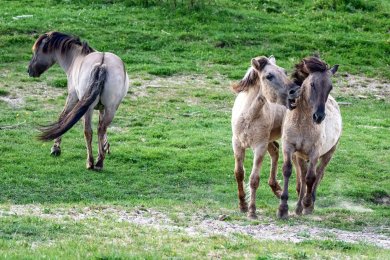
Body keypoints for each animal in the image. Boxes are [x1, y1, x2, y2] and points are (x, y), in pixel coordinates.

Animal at [29, 31, 129, 171]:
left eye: (36, 51)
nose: (29, 70)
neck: (77, 57)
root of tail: (102, 64)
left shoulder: (73, 97)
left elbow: (62, 118)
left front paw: (55, 148)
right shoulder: (102, 108)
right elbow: (101, 126)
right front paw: (105, 146)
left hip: (88, 108)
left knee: (88, 131)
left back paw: (91, 163)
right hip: (110, 109)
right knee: (101, 128)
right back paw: (99, 161)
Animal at [230, 55, 298, 218]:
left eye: (284, 71)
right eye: (269, 76)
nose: (294, 91)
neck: (248, 116)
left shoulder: (259, 147)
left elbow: (254, 179)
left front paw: (252, 210)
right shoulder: (237, 144)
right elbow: (239, 174)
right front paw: (242, 205)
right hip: (270, 140)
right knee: (275, 151)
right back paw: (276, 188)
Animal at [278, 55, 342, 218]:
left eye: (330, 87)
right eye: (312, 84)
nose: (318, 116)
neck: (302, 124)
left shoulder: (315, 152)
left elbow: (311, 177)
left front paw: (307, 204)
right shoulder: (289, 148)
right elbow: (288, 171)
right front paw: (283, 208)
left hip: (329, 153)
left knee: (318, 174)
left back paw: (309, 204)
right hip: (300, 156)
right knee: (302, 177)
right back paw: (298, 208)